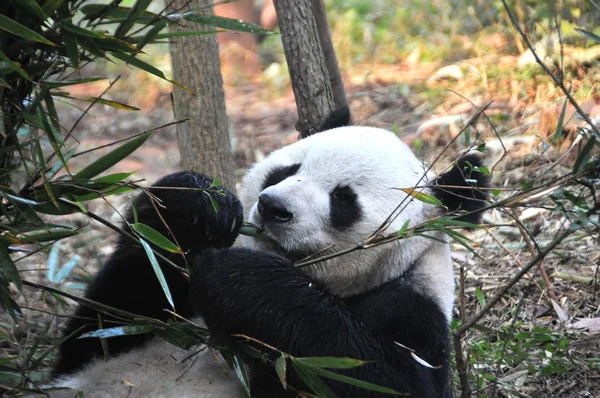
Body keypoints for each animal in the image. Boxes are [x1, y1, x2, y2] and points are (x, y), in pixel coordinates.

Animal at [47, 112, 488, 398]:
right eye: (287, 170)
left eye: (343, 199)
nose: (273, 207)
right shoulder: (148, 321)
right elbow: (104, 325)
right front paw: (199, 204)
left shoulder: (413, 306)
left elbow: (381, 379)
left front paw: (237, 277)